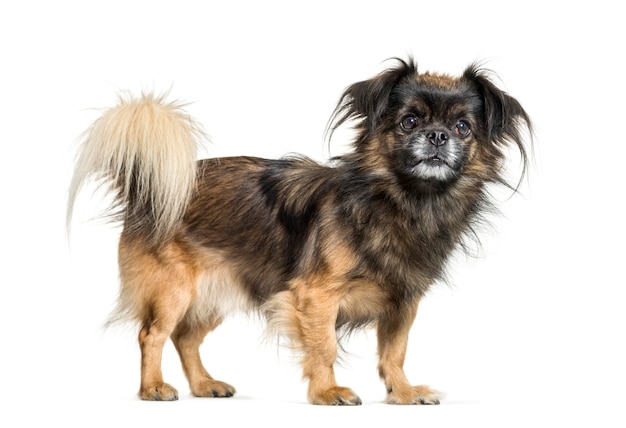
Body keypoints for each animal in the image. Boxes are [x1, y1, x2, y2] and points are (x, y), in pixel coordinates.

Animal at [67, 57, 532, 404]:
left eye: (462, 128)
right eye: (409, 122)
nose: (436, 136)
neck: (404, 201)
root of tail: (148, 188)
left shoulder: (402, 303)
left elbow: (394, 353)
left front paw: (401, 392)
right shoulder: (316, 297)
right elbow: (324, 347)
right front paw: (327, 392)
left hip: (218, 290)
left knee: (185, 338)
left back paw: (203, 385)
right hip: (174, 290)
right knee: (153, 335)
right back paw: (152, 388)